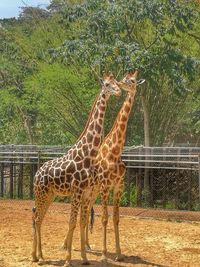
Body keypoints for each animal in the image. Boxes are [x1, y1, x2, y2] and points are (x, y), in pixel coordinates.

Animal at [31, 74, 121, 267]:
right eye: (107, 84)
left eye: (117, 83)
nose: (118, 91)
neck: (89, 154)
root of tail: (36, 174)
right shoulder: (77, 191)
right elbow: (72, 223)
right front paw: (68, 260)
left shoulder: (86, 192)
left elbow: (82, 222)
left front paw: (85, 258)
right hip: (41, 193)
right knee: (37, 218)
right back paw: (39, 257)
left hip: (50, 195)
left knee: (39, 218)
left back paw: (37, 256)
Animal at [83, 70, 145, 262]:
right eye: (125, 79)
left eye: (131, 80)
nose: (120, 86)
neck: (116, 151)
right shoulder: (105, 186)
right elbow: (104, 217)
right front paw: (104, 254)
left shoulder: (118, 186)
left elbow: (116, 218)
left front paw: (118, 254)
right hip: (91, 189)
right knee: (84, 210)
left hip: (93, 191)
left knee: (87, 210)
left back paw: (87, 245)